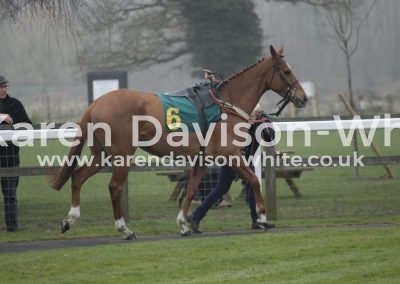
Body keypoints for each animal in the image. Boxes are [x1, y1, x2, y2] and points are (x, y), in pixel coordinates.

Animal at [49, 45, 306, 239]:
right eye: (286, 71)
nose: (303, 98)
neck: (227, 104)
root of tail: (96, 102)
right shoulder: (232, 154)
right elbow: (253, 180)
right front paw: (262, 217)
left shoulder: (202, 160)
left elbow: (192, 189)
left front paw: (184, 223)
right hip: (121, 154)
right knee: (114, 187)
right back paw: (124, 229)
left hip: (100, 154)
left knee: (78, 176)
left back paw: (70, 219)